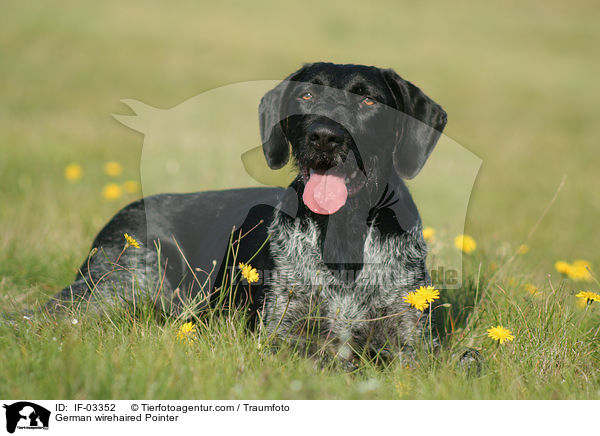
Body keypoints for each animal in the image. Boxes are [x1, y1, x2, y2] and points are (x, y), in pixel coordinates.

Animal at [50, 63, 446, 366]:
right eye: (306, 96)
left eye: (368, 100)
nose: (324, 137)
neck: (344, 233)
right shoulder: (281, 336)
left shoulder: (412, 345)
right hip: (118, 287)